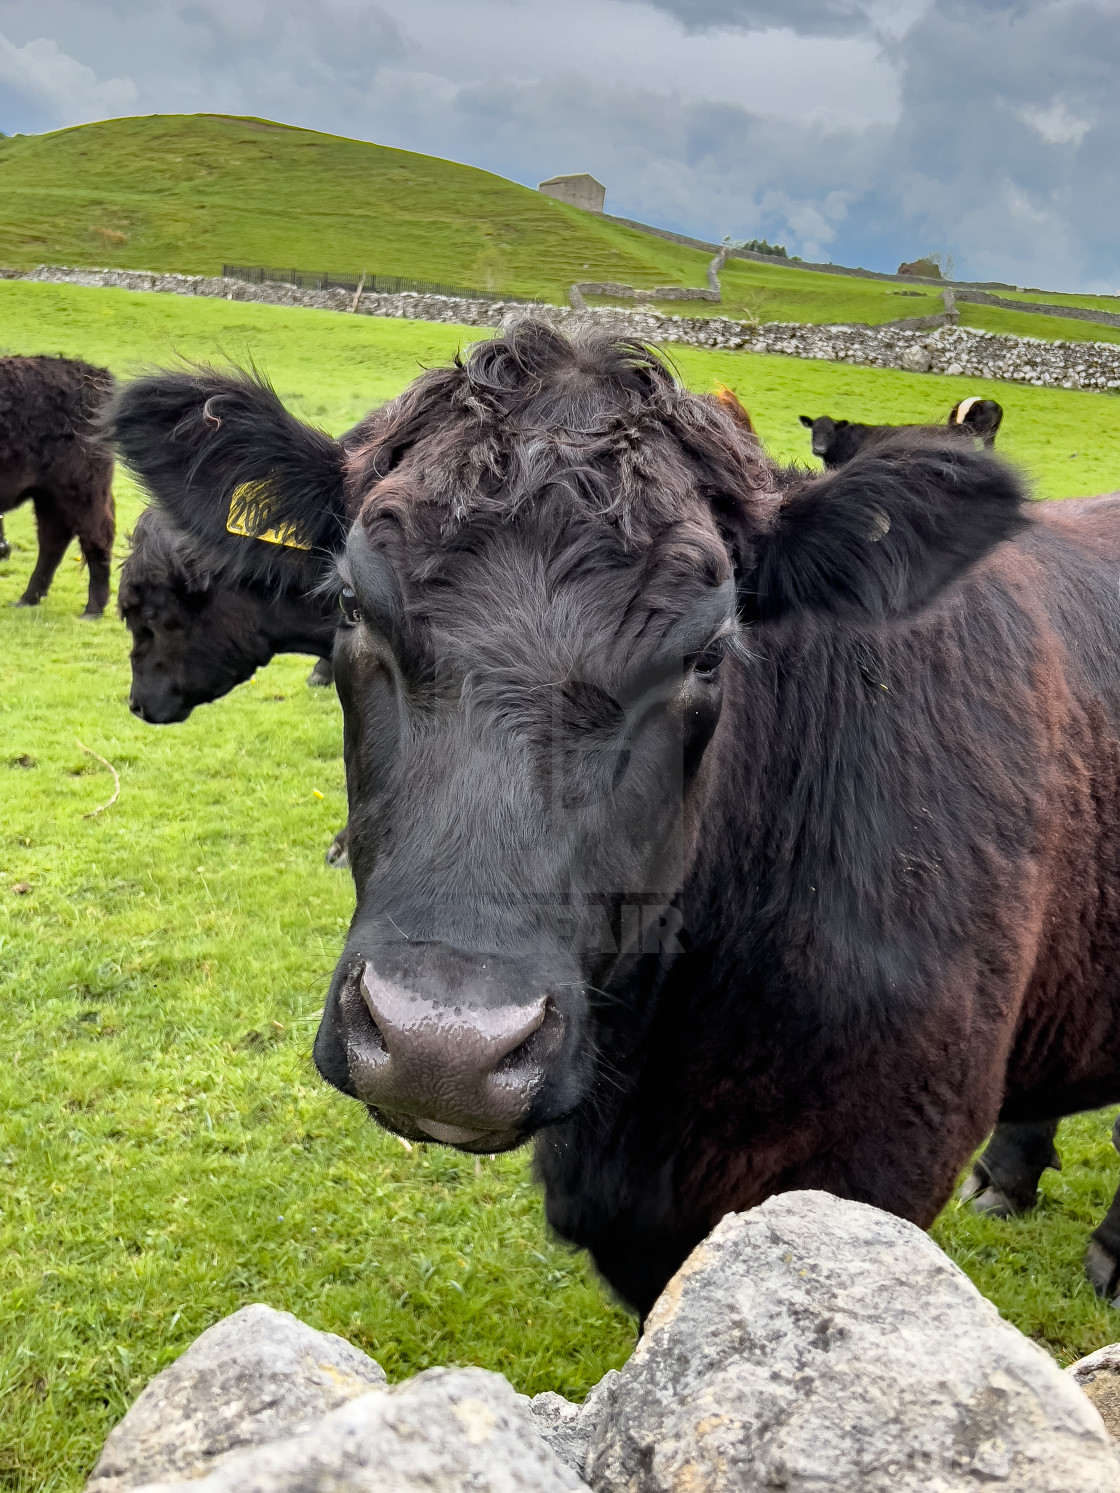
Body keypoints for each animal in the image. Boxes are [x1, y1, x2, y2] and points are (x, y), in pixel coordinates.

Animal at [0, 355, 116, 612]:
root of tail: (95, 376)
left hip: (80, 489)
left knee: (95, 534)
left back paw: (93, 609)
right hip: (48, 494)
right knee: (53, 538)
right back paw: (28, 598)